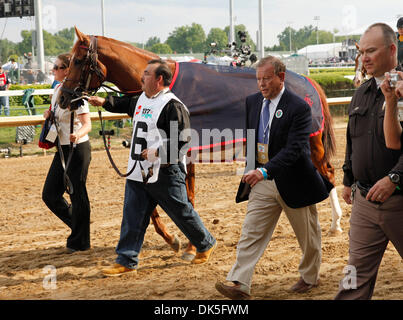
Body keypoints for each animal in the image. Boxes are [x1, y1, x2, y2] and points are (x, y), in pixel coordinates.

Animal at [60, 27, 344, 262]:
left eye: (77, 61)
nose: (63, 97)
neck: (165, 89)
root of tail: (309, 82)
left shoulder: (182, 154)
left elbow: (185, 198)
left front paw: (190, 245)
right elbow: (160, 202)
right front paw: (175, 240)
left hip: (310, 141)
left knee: (328, 174)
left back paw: (336, 225)